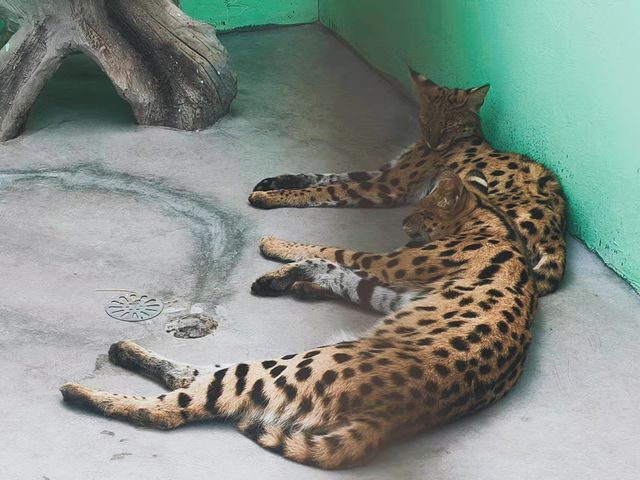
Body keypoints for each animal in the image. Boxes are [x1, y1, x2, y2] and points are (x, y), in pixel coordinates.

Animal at [62, 169, 536, 468]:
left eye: (423, 211)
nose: (404, 221)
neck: (492, 217)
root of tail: (390, 418)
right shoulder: (391, 287)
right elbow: (342, 272)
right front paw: (294, 278)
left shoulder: (391, 266)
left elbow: (331, 253)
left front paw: (278, 253)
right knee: (196, 378)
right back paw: (124, 351)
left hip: (291, 365)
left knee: (183, 403)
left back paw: (85, 389)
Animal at [250, 71, 564, 296]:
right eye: (426, 120)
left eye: (449, 125)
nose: (433, 142)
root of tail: (556, 234)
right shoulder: (385, 173)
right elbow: (325, 176)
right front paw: (275, 181)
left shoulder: (387, 187)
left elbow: (325, 189)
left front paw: (271, 197)